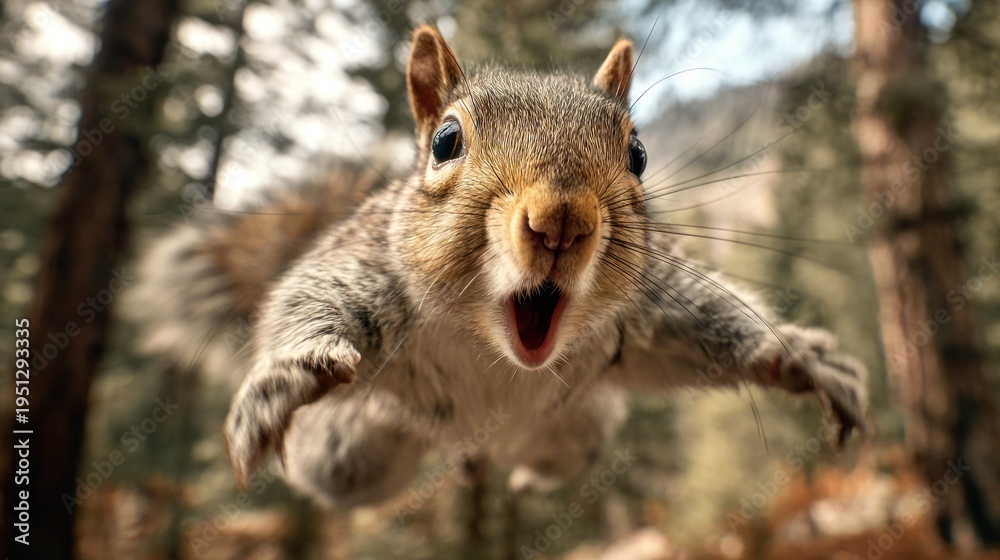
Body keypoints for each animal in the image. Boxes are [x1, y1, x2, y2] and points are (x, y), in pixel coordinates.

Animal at [127, 26, 868, 508]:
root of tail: (484, 442)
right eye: (446, 142)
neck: (501, 355)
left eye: (638, 154)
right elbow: (311, 295)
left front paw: (797, 357)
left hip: (580, 428)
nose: (561, 220)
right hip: (351, 451)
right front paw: (291, 371)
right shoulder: (370, 267)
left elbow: (711, 325)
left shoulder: (652, 306)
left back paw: (519, 477)